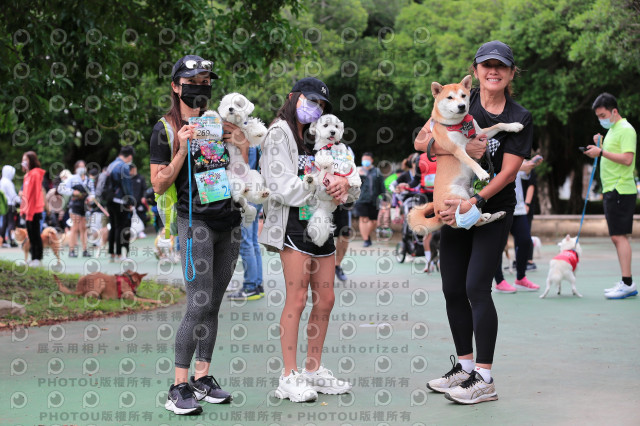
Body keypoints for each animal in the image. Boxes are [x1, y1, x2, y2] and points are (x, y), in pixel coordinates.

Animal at [202, 93, 268, 226]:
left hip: (254, 175)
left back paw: (262, 193)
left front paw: (259, 131)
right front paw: (210, 114)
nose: (231, 109)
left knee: (253, 194)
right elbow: (218, 124)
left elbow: (250, 125)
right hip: (230, 177)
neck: (235, 124)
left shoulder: (244, 131)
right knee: (239, 191)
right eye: (228, 104)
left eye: (238, 104)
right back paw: (243, 190)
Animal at [304, 114, 360, 246]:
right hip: (317, 179)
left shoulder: (346, 156)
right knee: (315, 181)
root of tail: (323, 209)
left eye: (336, 126)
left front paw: (355, 180)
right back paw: (309, 179)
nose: (333, 132)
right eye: (325, 125)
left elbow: (352, 168)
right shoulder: (320, 151)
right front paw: (327, 160)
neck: (331, 145)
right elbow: (323, 156)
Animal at [410, 76, 524, 236]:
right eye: (450, 97)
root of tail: (438, 214)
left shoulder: (481, 133)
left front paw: (513, 126)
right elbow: (471, 162)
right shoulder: (458, 150)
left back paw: (494, 215)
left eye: (463, 95)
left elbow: (499, 125)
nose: (462, 106)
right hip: (459, 195)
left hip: (469, 194)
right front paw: (482, 173)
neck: (461, 125)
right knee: (473, 221)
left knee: (475, 215)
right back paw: (488, 216)